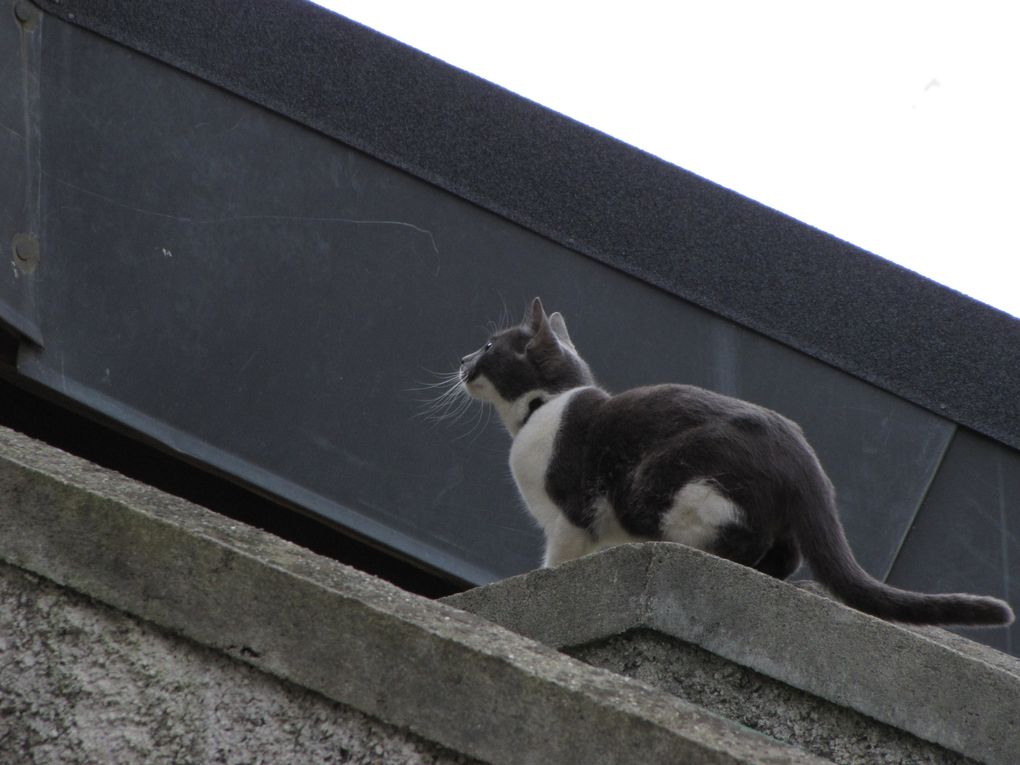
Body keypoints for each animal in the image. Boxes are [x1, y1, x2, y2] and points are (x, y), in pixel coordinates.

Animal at [461, 297, 1011, 628]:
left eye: (488, 345)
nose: (463, 361)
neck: (544, 408)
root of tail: (807, 467)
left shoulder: (570, 513)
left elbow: (558, 556)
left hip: (674, 482)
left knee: (739, 542)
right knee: (785, 557)